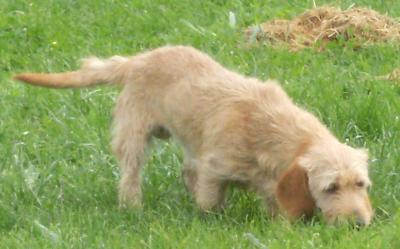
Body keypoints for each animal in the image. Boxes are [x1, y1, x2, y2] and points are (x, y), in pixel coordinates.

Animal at [14, 45, 374, 226]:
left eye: (361, 184)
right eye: (330, 187)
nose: (360, 223)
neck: (270, 126)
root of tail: (137, 60)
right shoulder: (214, 169)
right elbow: (210, 201)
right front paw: (211, 221)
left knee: (186, 169)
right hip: (134, 135)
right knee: (131, 173)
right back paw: (132, 206)